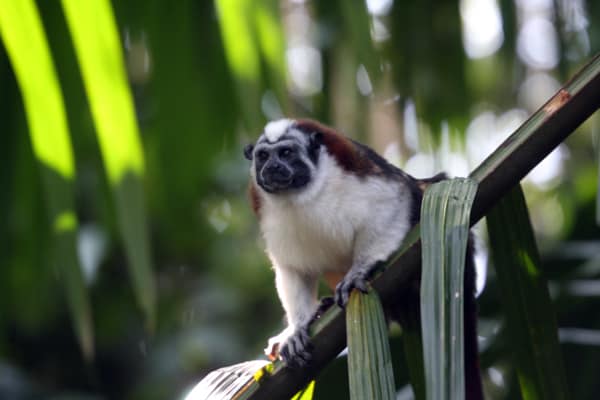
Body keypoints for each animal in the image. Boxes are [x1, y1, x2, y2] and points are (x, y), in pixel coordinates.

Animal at [244, 117, 482, 398]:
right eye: (263, 157)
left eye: (286, 153)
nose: (272, 167)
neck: (300, 195)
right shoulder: (265, 210)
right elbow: (293, 269)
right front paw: (297, 327)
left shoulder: (361, 173)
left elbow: (393, 202)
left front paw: (360, 269)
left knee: (427, 190)